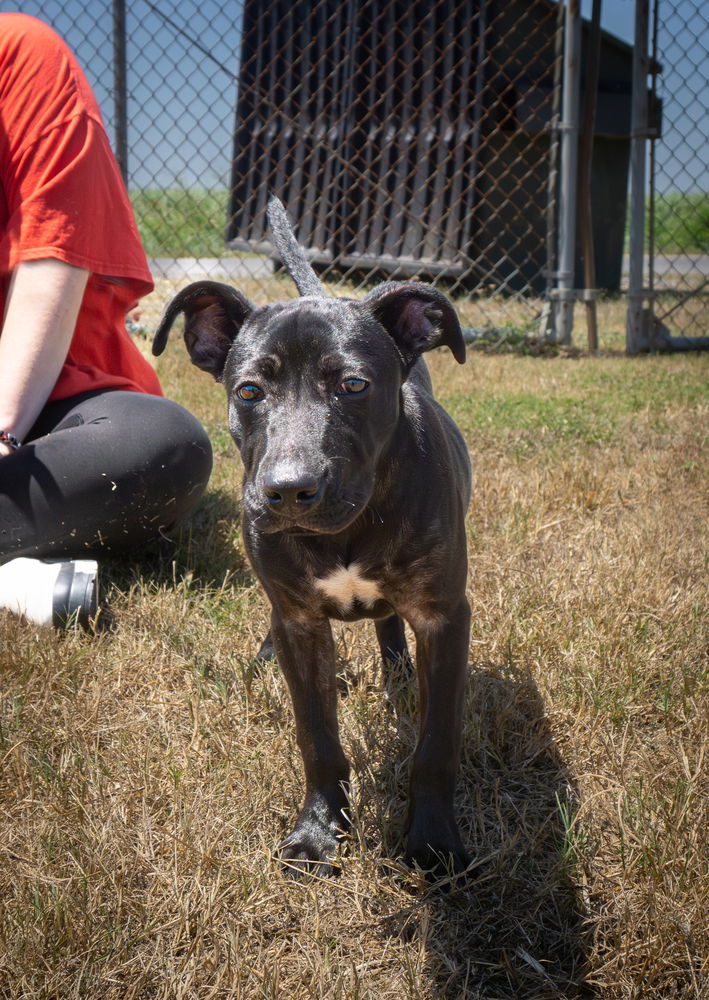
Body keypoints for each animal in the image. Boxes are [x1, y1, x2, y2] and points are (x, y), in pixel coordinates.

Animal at [156, 199, 470, 880]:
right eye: (249, 390)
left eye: (353, 385)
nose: (287, 491)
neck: (349, 527)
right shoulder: (299, 622)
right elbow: (316, 735)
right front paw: (319, 831)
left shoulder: (443, 616)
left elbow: (437, 742)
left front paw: (433, 841)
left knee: (389, 627)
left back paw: (397, 673)